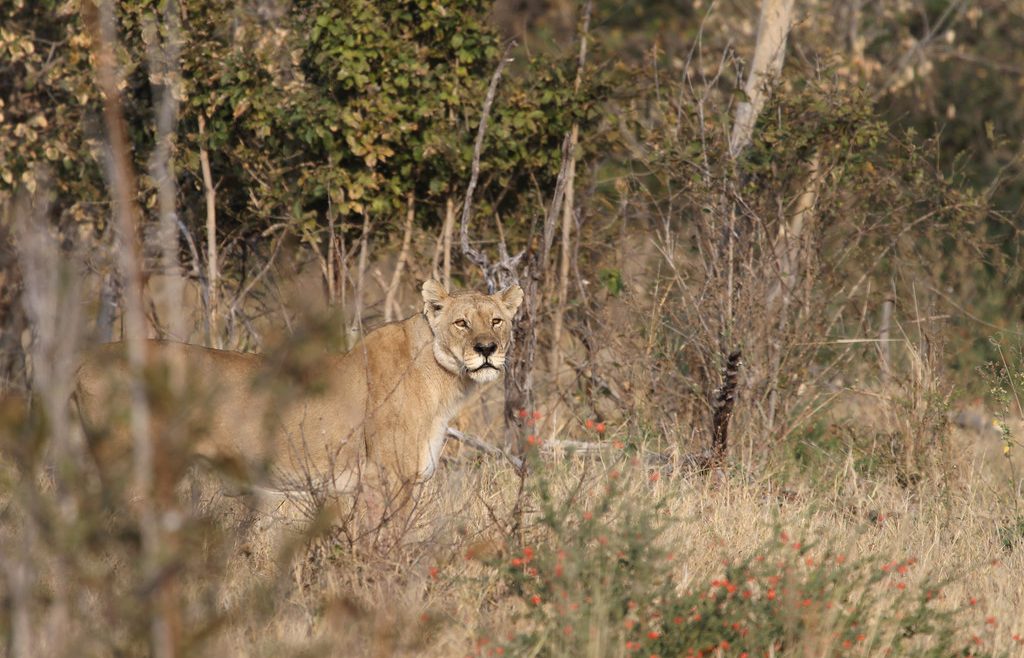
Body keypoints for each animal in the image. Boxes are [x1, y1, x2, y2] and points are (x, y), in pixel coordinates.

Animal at [74, 279, 523, 500]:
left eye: (496, 321)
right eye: (462, 323)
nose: (487, 350)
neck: (445, 381)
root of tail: (84, 359)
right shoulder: (387, 478)